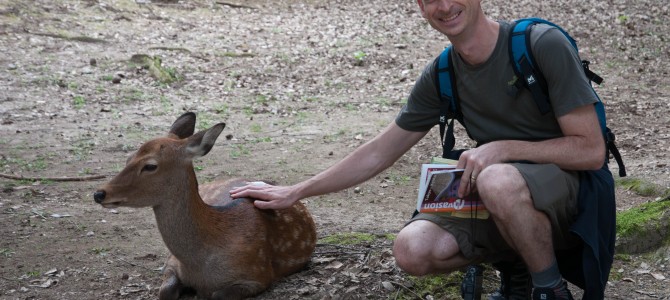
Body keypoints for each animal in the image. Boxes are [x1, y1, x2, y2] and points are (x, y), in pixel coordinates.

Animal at [92, 112, 320, 300]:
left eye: (150, 165)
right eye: (129, 157)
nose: (99, 193)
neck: (198, 266)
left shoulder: (258, 275)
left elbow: (217, 295)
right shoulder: (171, 264)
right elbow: (165, 291)